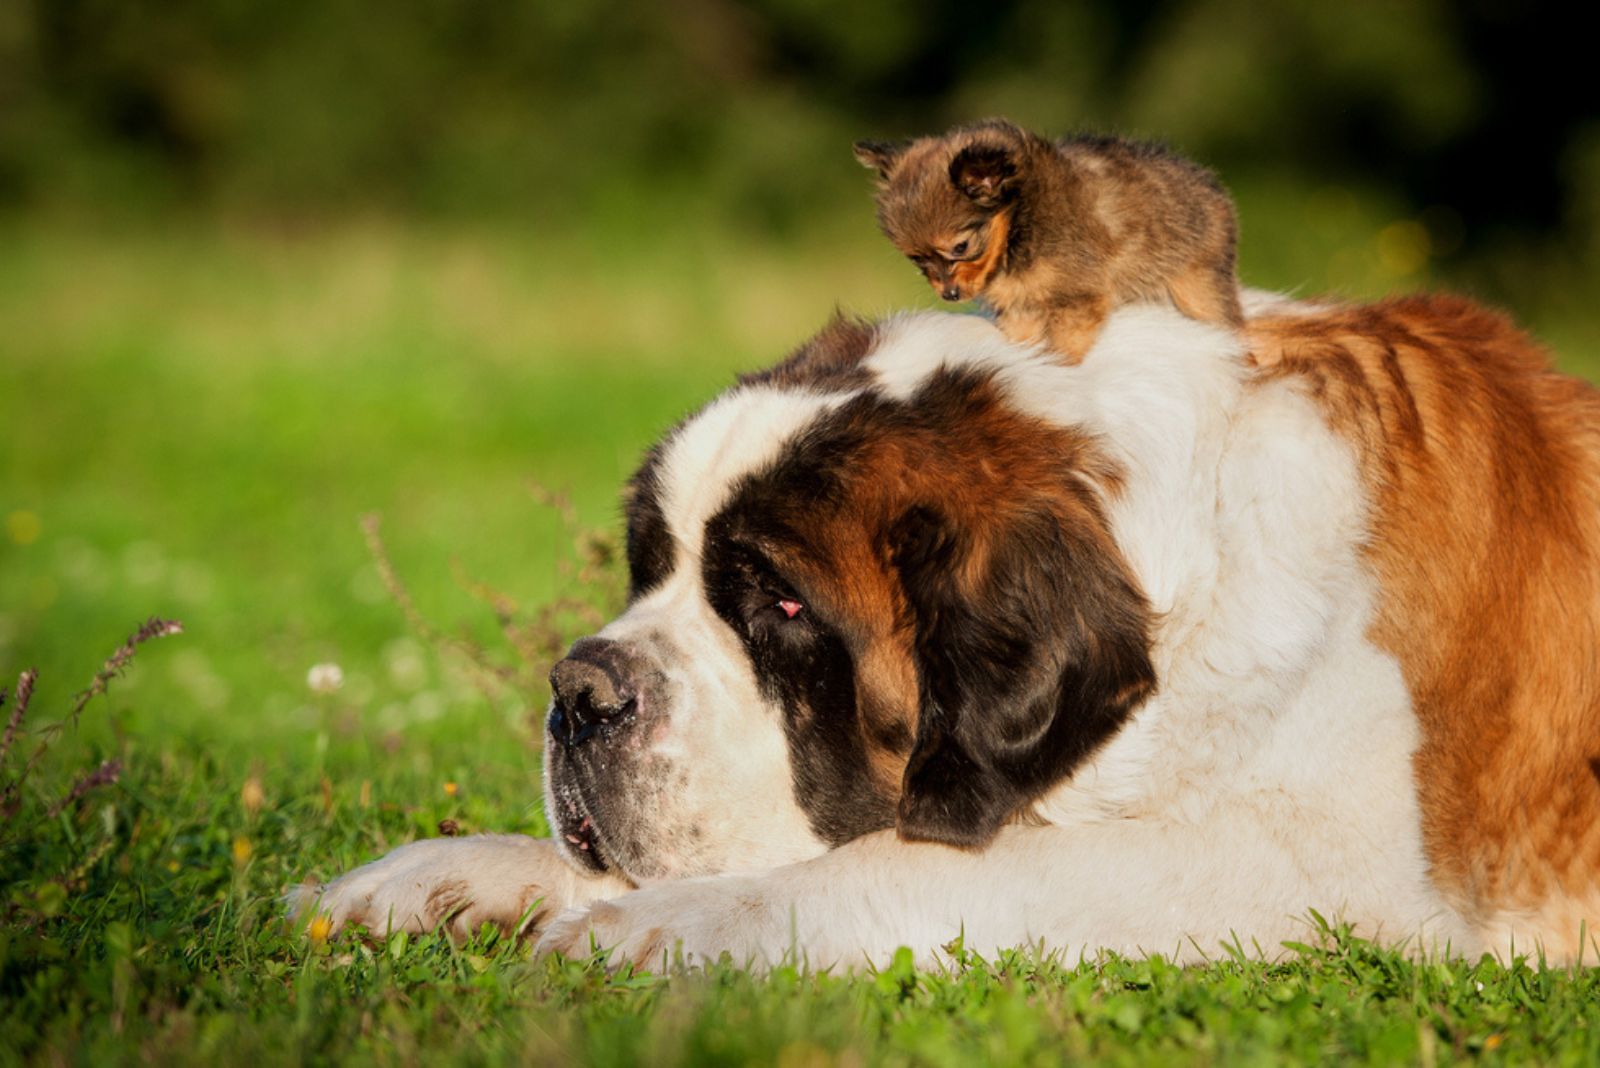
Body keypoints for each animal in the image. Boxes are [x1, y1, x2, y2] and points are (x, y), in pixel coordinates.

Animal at [297, 289, 1600, 965]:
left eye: (779, 604)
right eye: (649, 566)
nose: (578, 694)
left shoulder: (1323, 871)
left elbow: (915, 861)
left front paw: (654, 928)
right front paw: (441, 877)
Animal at [857, 119, 1241, 362]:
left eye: (961, 248)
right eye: (917, 260)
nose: (949, 294)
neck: (1016, 231)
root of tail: (1211, 189)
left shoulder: (1076, 300)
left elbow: (1062, 348)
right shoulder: (1020, 307)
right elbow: (1023, 342)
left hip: (1196, 286)